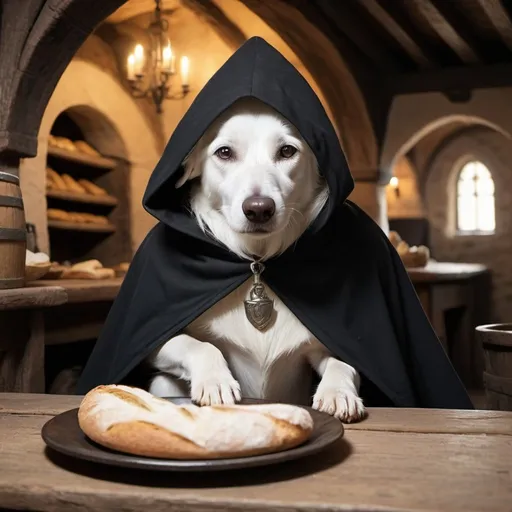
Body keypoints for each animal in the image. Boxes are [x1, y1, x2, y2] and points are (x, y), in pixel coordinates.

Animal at [146, 98, 366, 422]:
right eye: (225, 152)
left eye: (287, 151)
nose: (259, 209)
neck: (258, 260)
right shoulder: (156, 343)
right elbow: (200, 345)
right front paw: (216, 380)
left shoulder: (323, 347)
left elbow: (344, 363)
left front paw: (337, 393)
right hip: (162, 383)